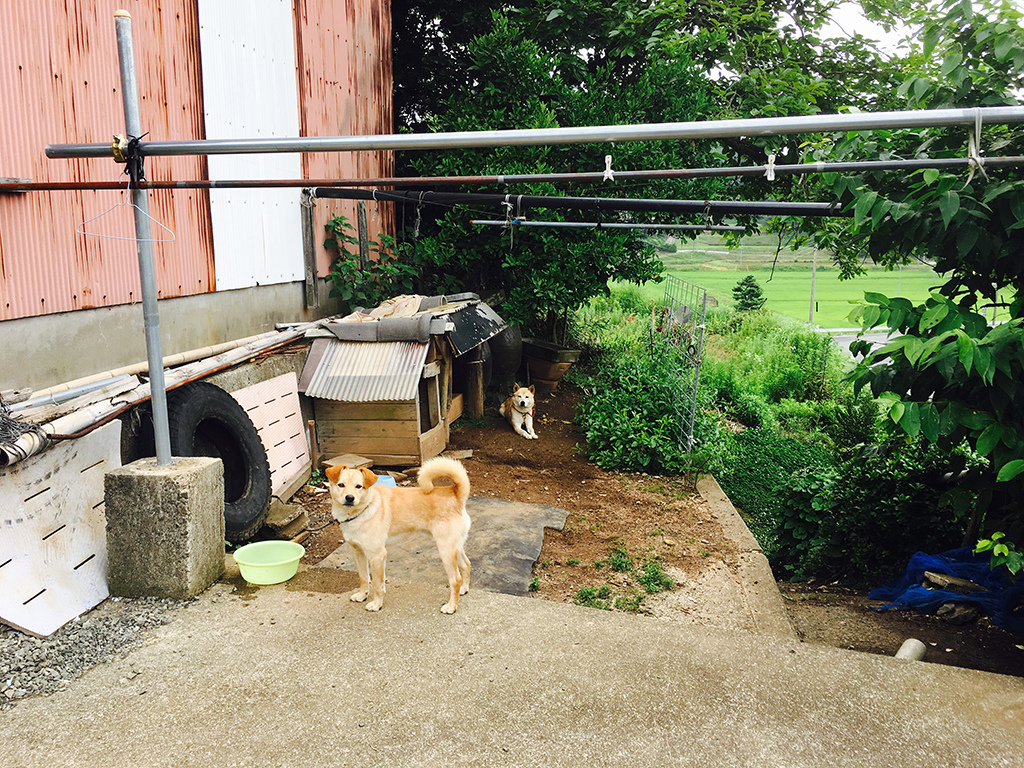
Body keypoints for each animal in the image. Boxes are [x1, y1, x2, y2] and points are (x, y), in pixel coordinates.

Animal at [323, 456, 471, 614]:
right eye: (341, 485)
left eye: (359, 486)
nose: (350, 498)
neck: (362, 510)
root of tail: (455, 493)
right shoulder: (359, 553)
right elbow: (364, 577)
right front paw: (363, 595)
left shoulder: (377, 555)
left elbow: (376, 583)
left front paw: (376, 604)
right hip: (455, 548)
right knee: (466, 565)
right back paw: (464, 589)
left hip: (446, 550)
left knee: (455, 579)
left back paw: (451, 606)